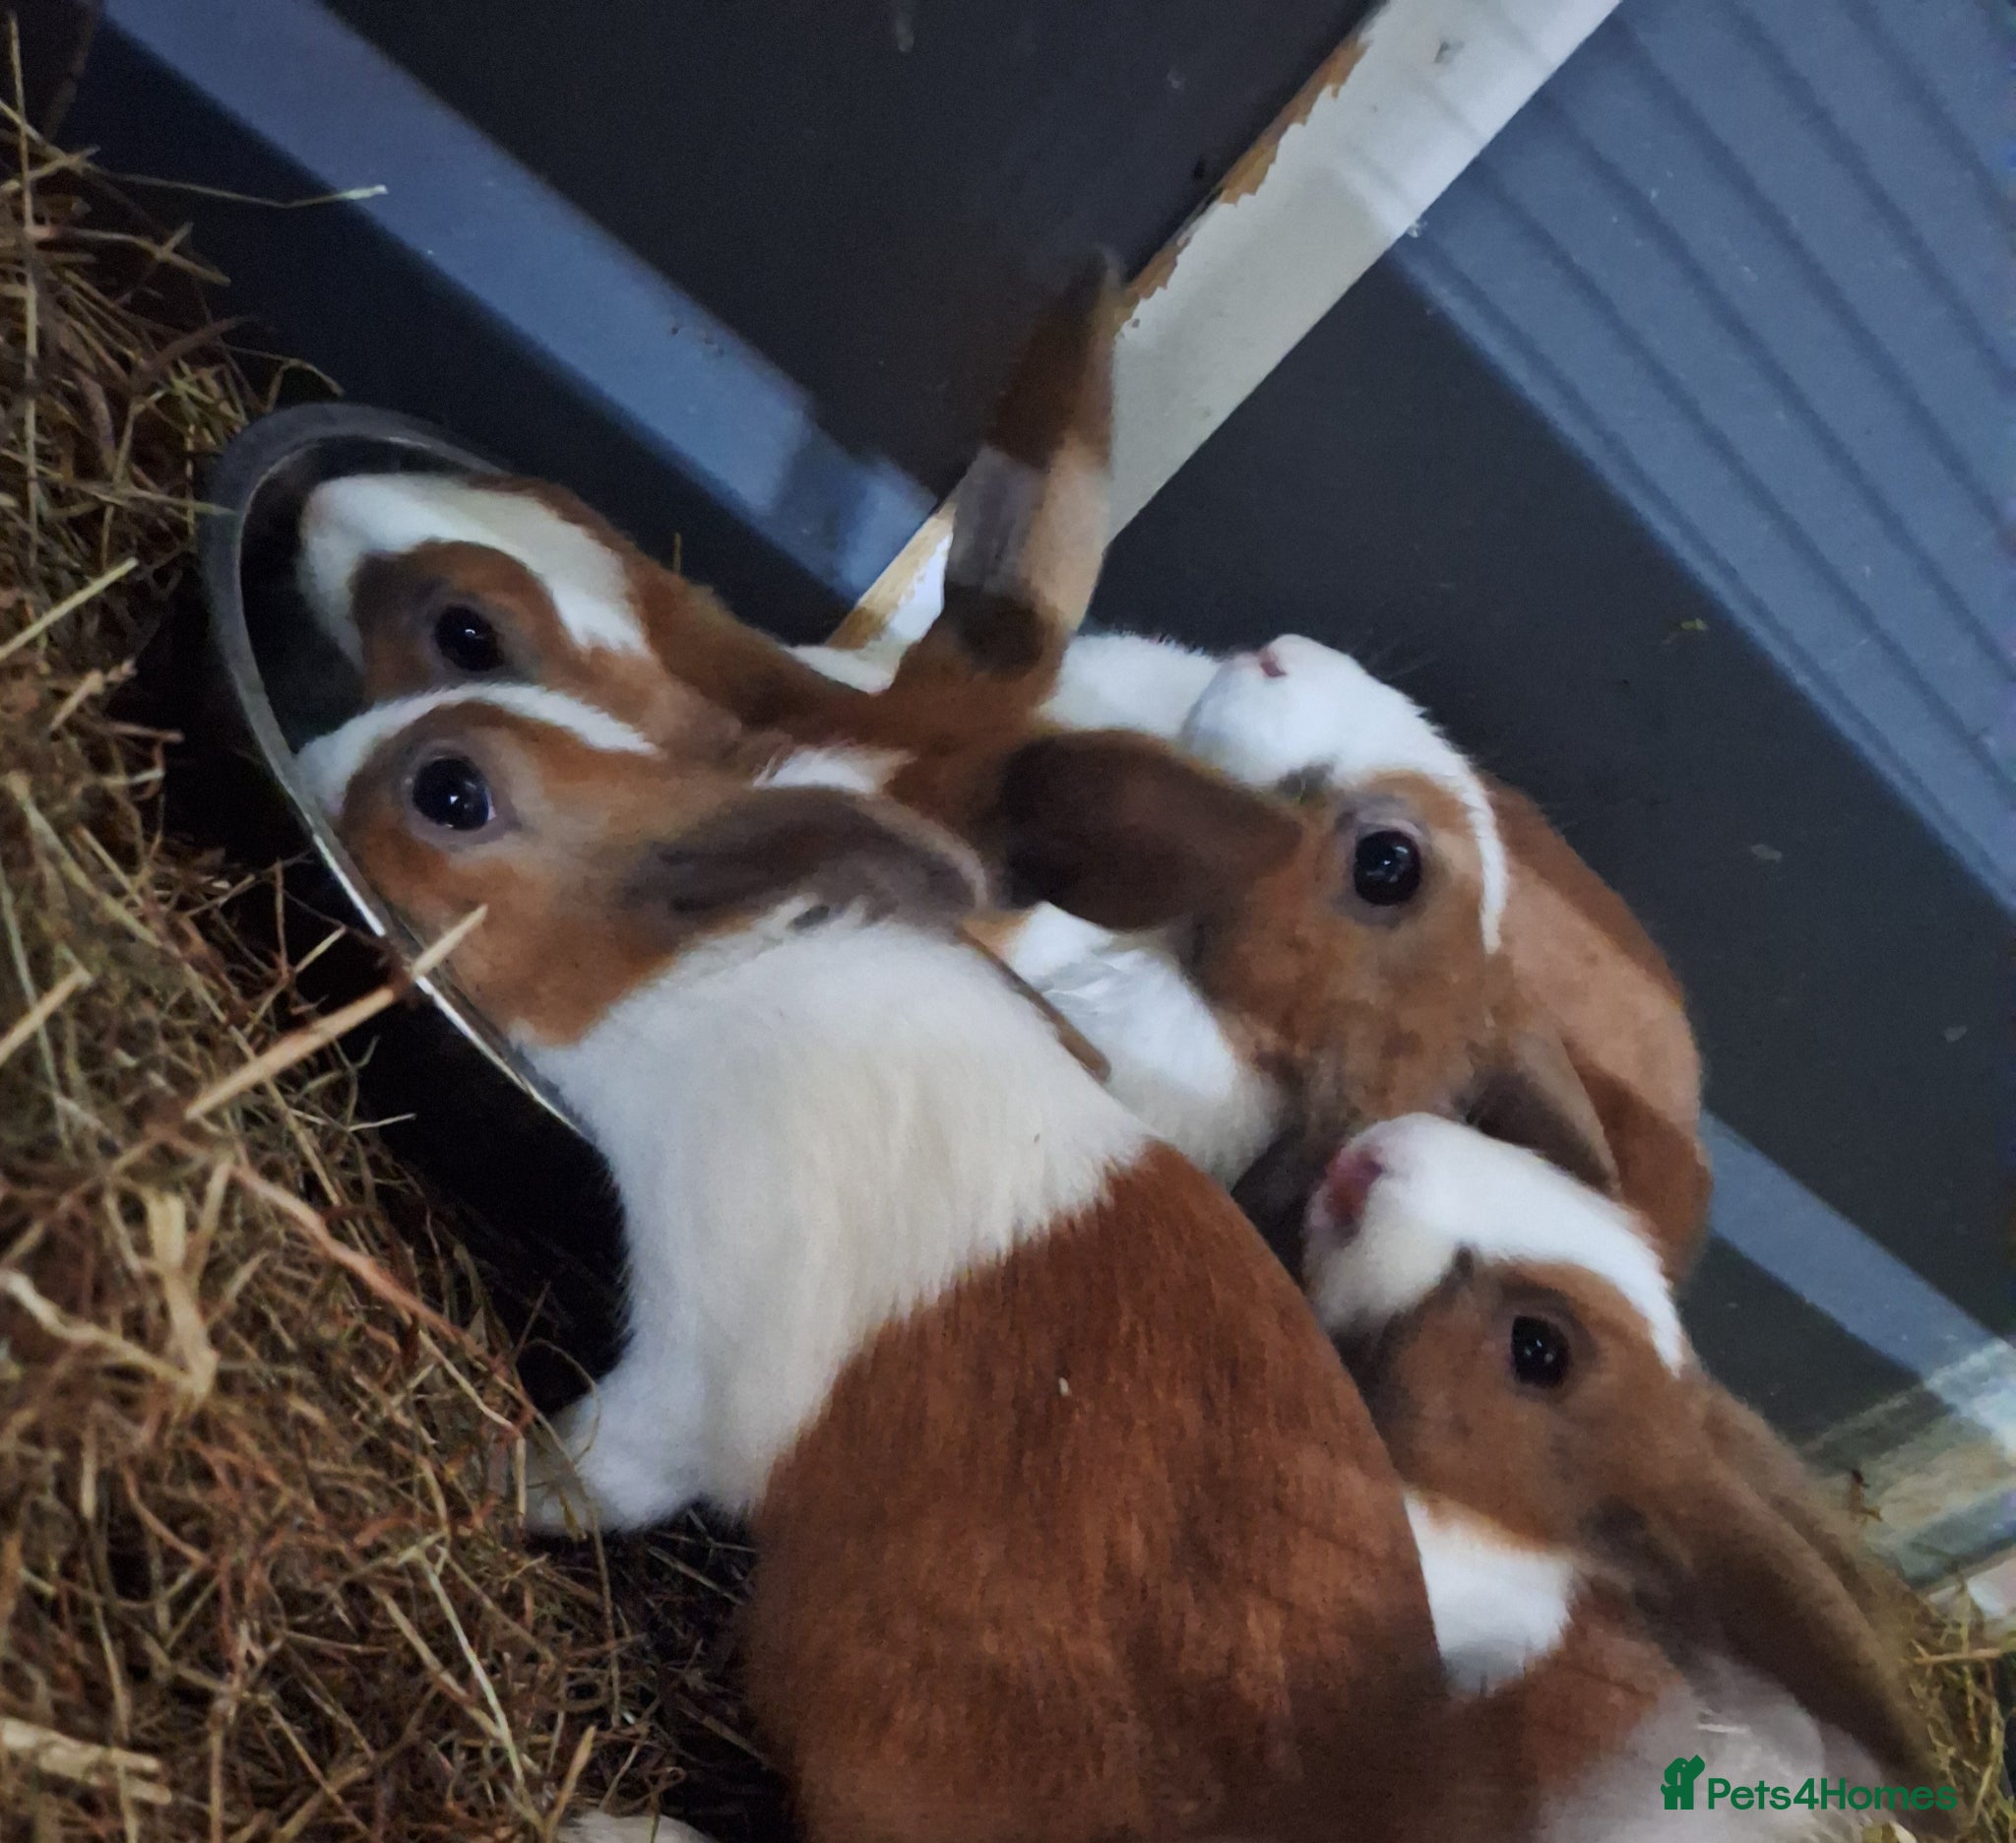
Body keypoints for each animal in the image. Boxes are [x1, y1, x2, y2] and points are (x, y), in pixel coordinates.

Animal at [297, 684, 1453, 1843]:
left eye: (452, 792)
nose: (315, 756)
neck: (693, 985)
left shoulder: (685, 1369)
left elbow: (590, 1469)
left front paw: (483, 1478)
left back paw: (608, 1827)